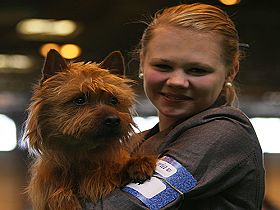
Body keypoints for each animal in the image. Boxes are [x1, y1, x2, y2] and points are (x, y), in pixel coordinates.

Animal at [22, 49, 156, 210]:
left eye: (114, 100)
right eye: (80, 100)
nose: (113, 120)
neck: (84, 155)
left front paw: (140, 163)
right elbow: (58, 194)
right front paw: (66, 201)